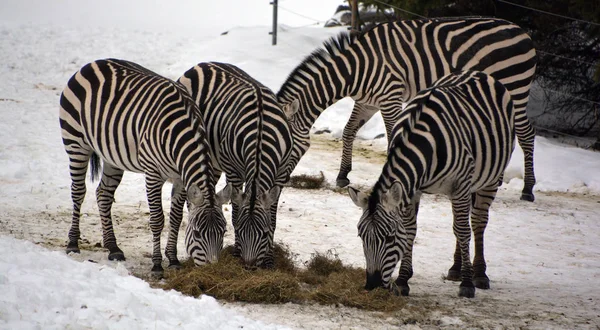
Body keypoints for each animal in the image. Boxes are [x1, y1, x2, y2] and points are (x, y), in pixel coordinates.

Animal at [59, 58, 231, 274]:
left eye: (223, 231)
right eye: (198, 233)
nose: (212, 270)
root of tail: (91, 64)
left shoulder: (180, 178)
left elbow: (176, 218)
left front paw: (173, 259)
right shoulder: (153, 173)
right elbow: (157, 220)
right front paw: (157, 265)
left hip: (112, 157)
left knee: (103, 194)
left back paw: (113, 247)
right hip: (75, 142)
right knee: (78, 192)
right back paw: (73, 243)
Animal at [176, 61, 296, 268]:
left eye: (264, 233)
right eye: (239, 230)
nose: (249, 266)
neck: (260, 135)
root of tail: (203, 63)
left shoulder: (281, 172)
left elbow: (272, 216)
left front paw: (269, 258)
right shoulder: (233, 171)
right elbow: (235, 212)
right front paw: (237, 252)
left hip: (214, 162)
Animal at [278, 16, 540, 202]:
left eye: (286, 145)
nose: (279, 180)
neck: (355, 70)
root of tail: (522, 31)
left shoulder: (390, 98)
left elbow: (392, 136)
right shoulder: (367, 102)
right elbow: (349, 130)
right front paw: (343, 175)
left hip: (516, 88)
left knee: (526, 134)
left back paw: (527, 190)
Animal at [346, 70, 516, 300]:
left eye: (390, 238)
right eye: (361, 236)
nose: (371, 285)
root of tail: (478, 72)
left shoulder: (460, 184)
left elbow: (464, 230)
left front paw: (467, 284)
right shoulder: (413, 189)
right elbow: (411, 229)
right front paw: (403, 281)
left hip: (489, 179)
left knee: (477, 222)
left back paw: (479, 274)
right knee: (460, 224)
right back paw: (455, 269)